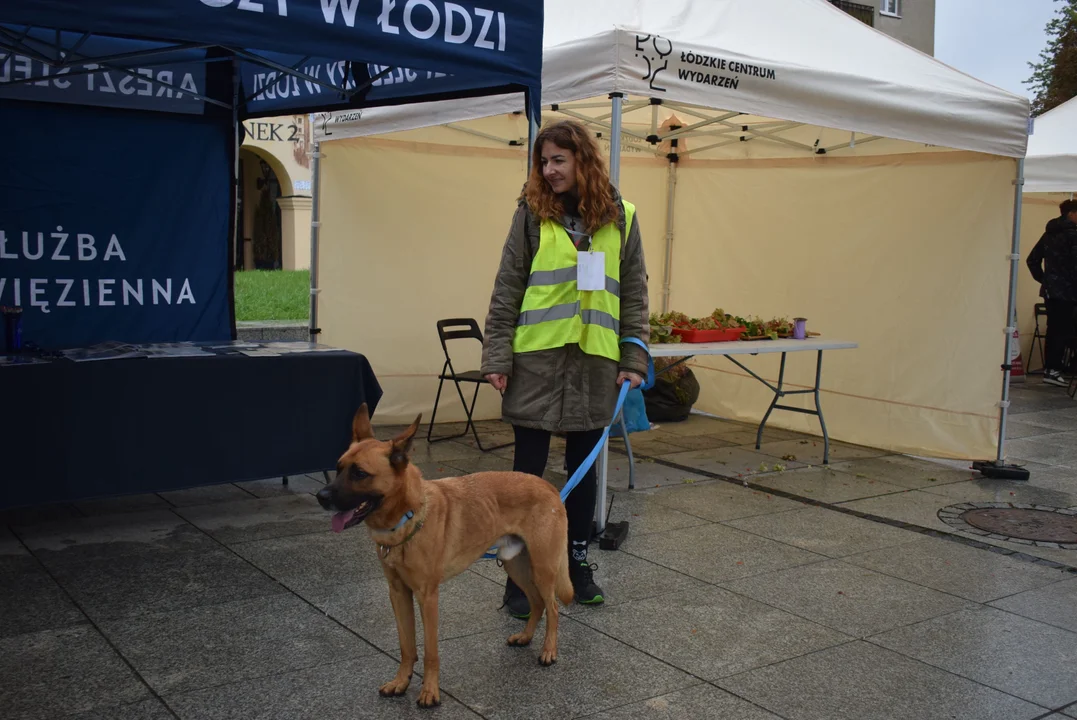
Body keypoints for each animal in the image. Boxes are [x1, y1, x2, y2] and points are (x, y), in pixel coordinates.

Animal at [314, 404, 577, 706]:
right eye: (338, 468)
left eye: (359, 473)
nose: (320, 497)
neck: (409, 517)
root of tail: (549, 487)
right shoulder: (398, 593)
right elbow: (406, 646)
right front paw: (401, 681)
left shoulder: (427, 597)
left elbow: (430, 651)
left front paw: (430, 691)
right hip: (516, 565)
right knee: (537, 602)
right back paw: (525, 637)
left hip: (543, 568)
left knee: (553, 607)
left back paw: (549, 651)